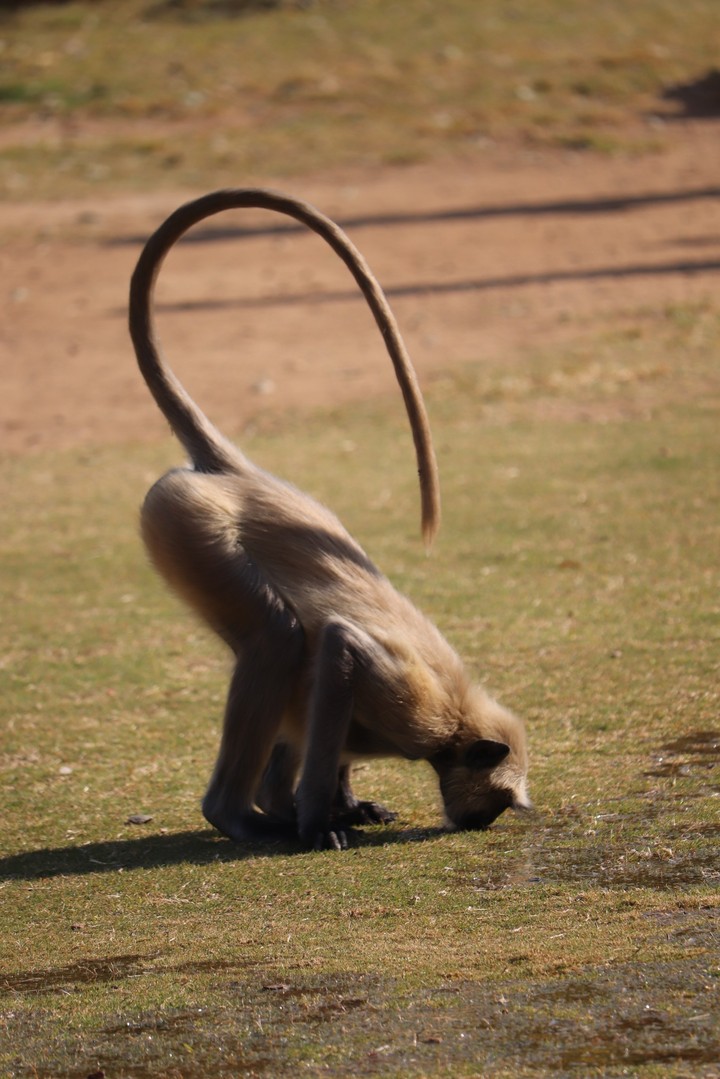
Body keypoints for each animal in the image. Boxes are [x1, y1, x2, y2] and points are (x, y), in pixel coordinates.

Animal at [129, 188, 530, 851]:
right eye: (495, 803)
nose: (478, 822)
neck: (455, 720)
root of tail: (239, 475)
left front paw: (339, 805)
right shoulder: (416, 713)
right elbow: (341, 649)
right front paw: (319, 819)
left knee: (294, 667)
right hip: (193, 528)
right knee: (279, 638)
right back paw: (238, 815)